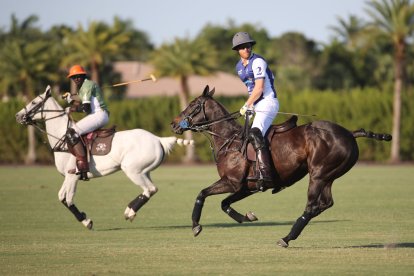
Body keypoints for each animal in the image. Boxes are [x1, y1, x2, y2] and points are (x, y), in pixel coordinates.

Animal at [14, 85, 192, 229]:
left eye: (33, 102)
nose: (17, 116)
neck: (62, 138)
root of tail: (158, 139)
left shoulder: (73, 175)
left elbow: (69, 199)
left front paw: (87, 222)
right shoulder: (68, 175)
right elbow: (61, 197)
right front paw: (85, 218)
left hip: (132, 170)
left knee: (150, 189)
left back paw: (129, 212)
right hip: (144, 171)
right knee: (151, 189)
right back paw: (130, 211)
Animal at [171, 85, 392, 247]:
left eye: (193, 105)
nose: (173, 124)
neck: (229, 139)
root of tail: (349, 134)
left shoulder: (232, 182)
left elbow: (202, 193)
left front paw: (195, 226)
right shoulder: (246, 187)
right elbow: (225, 203)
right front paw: (247, 217)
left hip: (318, 174)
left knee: (312, 205)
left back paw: (286, 238)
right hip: (329, 175)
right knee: (326, 203)